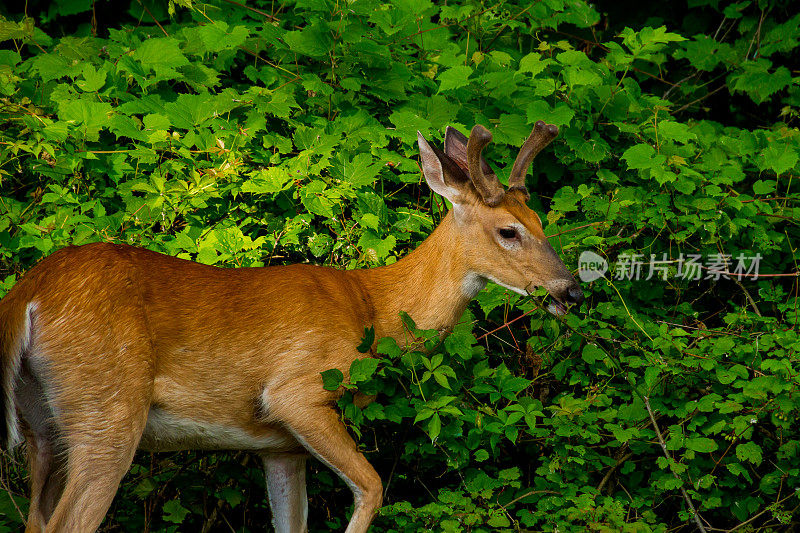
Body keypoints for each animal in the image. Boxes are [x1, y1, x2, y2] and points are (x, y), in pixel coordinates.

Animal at [3, 121, 584, 532]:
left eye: (541, 223)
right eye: (508, 231)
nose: (572, 290)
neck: (372, 308)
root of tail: (26, 298)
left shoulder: (278, 447)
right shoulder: (297, 394)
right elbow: (373, 487)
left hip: (42, 427)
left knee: (35, 519)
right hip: (108, 408)